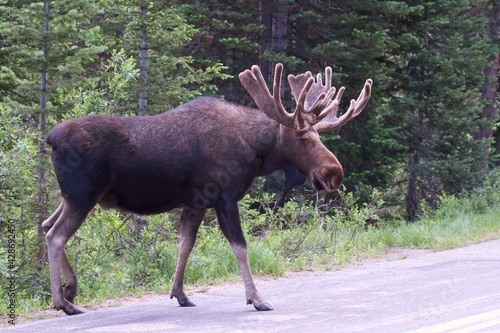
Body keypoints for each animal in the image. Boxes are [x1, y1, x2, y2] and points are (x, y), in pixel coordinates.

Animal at [42, 63, 372, 314]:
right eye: (303, 138)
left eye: (319, 136)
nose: (334, 173)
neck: (256, 152)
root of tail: (50, 139)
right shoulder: (224, 197)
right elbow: (240, 247)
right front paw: (257, 298)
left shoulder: (196, 203)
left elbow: (186, 245)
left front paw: (180, 294)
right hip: (83, 195)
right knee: (55, 235)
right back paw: (63, 302)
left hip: (73, 197)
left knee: (45, 223)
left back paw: (70, 289)